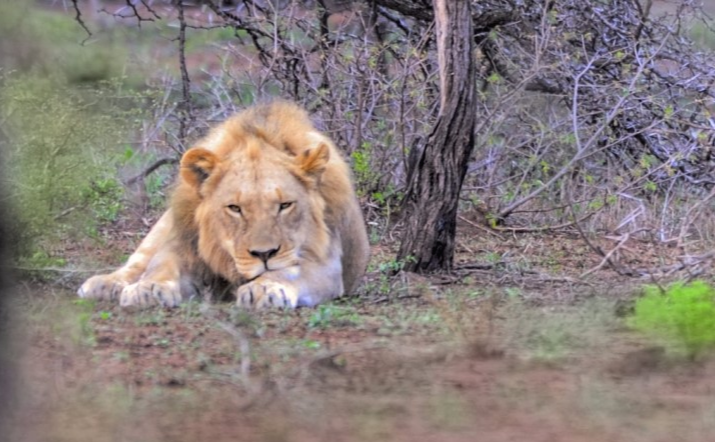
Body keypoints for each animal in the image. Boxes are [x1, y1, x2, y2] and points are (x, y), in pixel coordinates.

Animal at [78, 101, 370, 308]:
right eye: (235, 208)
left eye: (284, 205)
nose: (264, 254)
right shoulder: (183, 244)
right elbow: (161, 264)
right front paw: (147, 289)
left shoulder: (326, 264)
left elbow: (289, 272)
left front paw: (264, 288)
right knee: (136, 262)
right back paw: (103, 285)